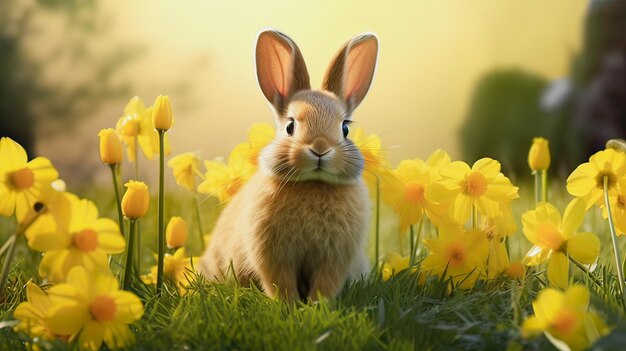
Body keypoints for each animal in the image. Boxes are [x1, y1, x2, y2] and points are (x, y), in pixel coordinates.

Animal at [201, 28, 376, 302]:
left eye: (345, 128)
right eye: (290, 126)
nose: (320, 148)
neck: (313, 183)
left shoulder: (334, 259)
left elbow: (325, 284)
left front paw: (317, 305)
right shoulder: (272, 255)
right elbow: (279, 282)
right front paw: (290, 305)